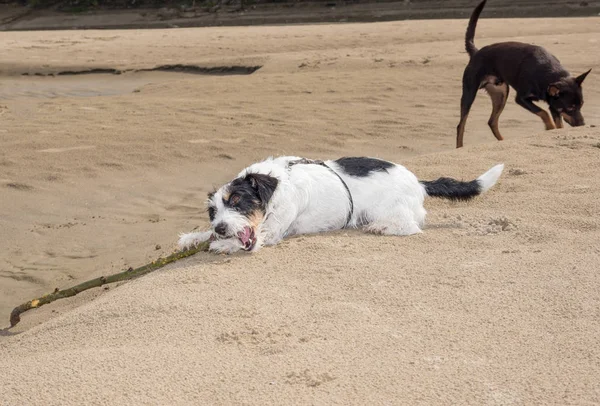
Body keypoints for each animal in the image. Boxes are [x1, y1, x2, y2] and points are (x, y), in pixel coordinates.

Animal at [177, 156, 502, 254]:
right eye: (213, 212)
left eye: (237, 200)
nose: (221, 228)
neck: (278, 185)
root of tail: (418, 182)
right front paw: (192, 237)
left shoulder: (273, 232)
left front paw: (220, 244)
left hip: (389, 209)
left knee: (409, 227)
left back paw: (381, 227)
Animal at [460, 0, 592, 149]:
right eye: (570, 108)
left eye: (581, 105)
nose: (582, 125)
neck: (548, 73)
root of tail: (476, 52)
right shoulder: (522, 99)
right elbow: (543, 112)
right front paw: (549, 127)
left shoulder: (553, 105)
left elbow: (556, 121)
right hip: (469, 94)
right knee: (461, 126)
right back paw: (459, 146)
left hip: (500, 94)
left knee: (492, 121)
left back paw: (502, 141)